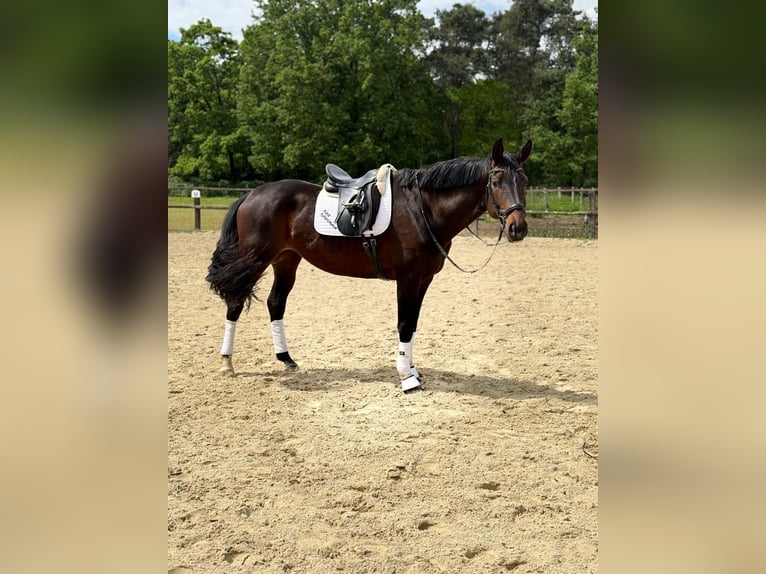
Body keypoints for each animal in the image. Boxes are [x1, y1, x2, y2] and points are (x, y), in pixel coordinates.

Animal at [206, 137, 532, 391]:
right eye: (496, 182)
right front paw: (406, 378)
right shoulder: (408, 278)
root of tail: (251, 195)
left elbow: (413, 323)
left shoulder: (424, 279)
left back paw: (286, 358)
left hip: (286, 260)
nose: (517, 228)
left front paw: (413, 370)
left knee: (275, 303)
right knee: (235, 302)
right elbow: (404, 324)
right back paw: (226, 363)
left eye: (525, 182)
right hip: (253, 260)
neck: (423, 209)